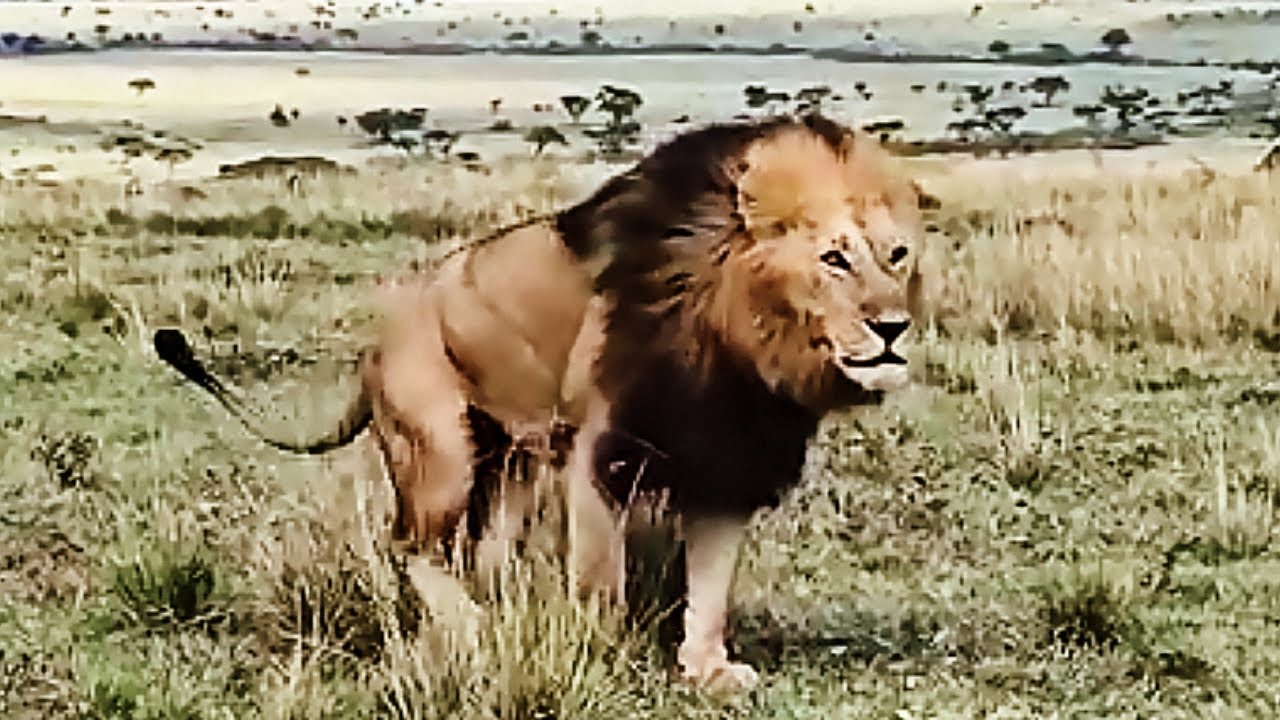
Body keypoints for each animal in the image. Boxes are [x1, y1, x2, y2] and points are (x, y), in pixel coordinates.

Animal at [154, 113, 929, 691]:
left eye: (896, 256)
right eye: (834, 259)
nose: (894, 328)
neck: (742, 352)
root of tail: (375, 341)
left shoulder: (728, 458)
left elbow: (710, 581)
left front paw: (707, 670)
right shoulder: (604, 448)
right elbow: (600, 573)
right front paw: (598, 650)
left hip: (513, 465)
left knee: (485, 553)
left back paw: (497, 613)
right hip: (438, 450)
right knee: (410, 544)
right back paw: (470, 629)